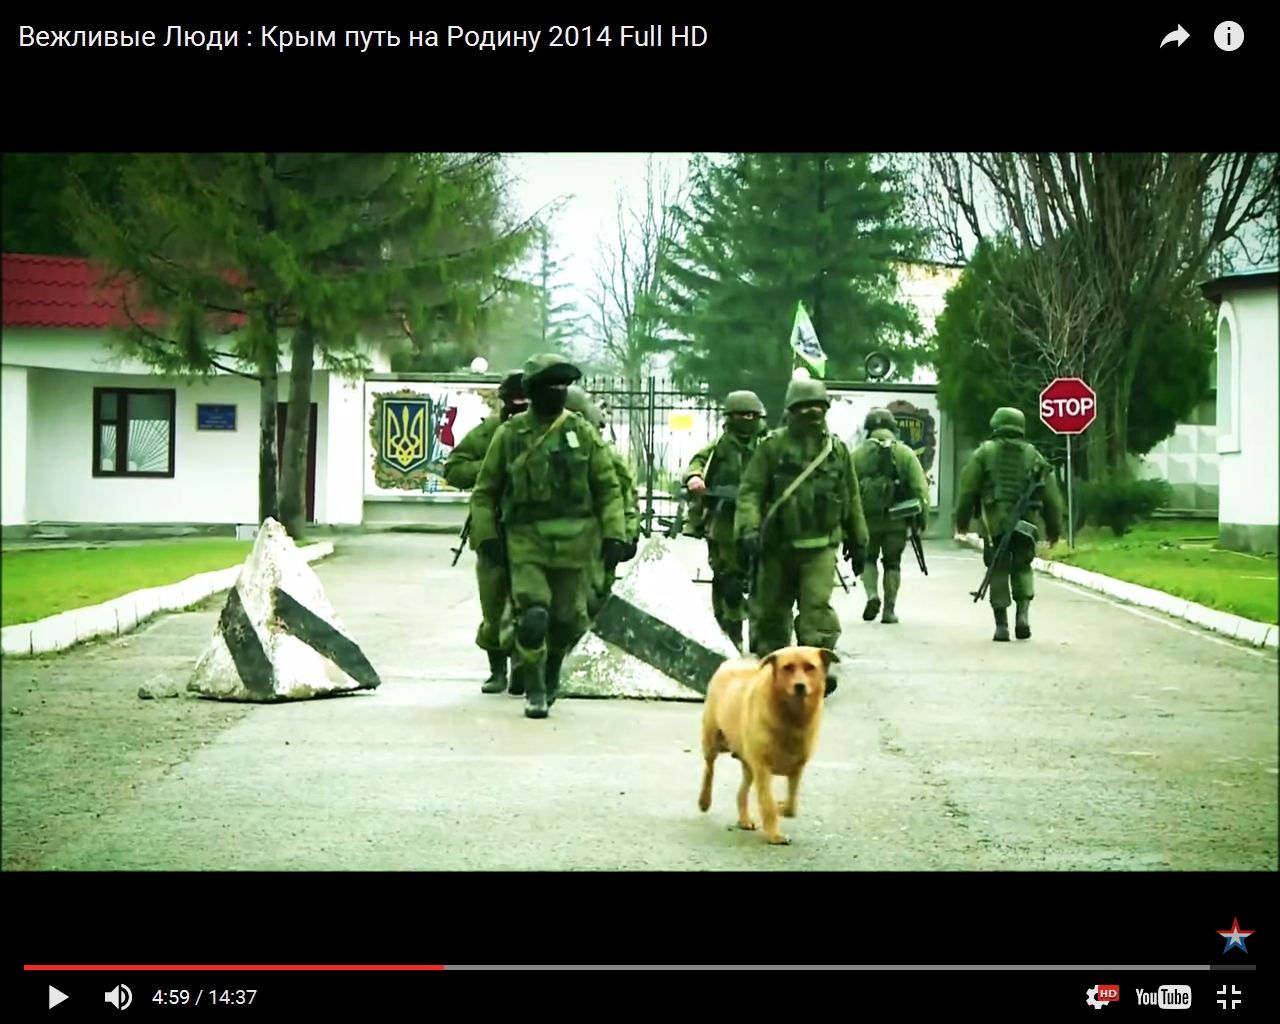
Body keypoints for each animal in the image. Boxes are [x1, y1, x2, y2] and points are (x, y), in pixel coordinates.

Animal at [697, 646, 837, 845]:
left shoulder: (797, 767)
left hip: (748, 764)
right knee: (709, 770)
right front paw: (775, 833)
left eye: (810, 667)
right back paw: (704, 801)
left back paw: (744, 819)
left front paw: (782, 808)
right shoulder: (763, 768)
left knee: (741, 792)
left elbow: (792, 806)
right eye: (787, 667)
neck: (792, 716)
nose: (800, 686)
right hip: (712, 741)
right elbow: (767, 803)